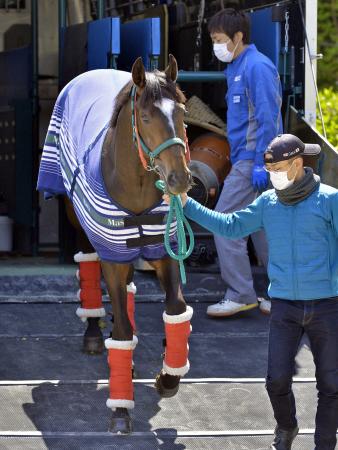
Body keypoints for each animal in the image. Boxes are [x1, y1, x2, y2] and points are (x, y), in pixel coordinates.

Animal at [37, 55, 193, 432]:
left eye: (181, 112)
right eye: (147, 116)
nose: (179, 179)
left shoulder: (163, 253)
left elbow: (176, 311)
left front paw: (168, 378)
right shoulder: (112, 255)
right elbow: (120, 329)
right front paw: (121, 410)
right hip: (80, 226)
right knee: (88, 267)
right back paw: (94, 333)